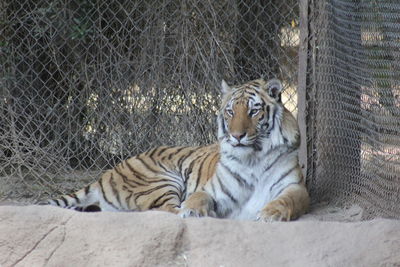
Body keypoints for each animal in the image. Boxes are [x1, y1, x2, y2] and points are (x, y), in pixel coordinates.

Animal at [40, 78, 310, 222]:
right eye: (231, 111)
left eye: (254, 111)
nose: (237, 136)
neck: (253, 156)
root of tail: (104, 174)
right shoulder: (211, 189)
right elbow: (197, 198)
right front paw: (192, 211)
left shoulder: (295, 187)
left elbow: (286, 200)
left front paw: (270, 214)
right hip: (160, 179)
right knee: (159, 209)